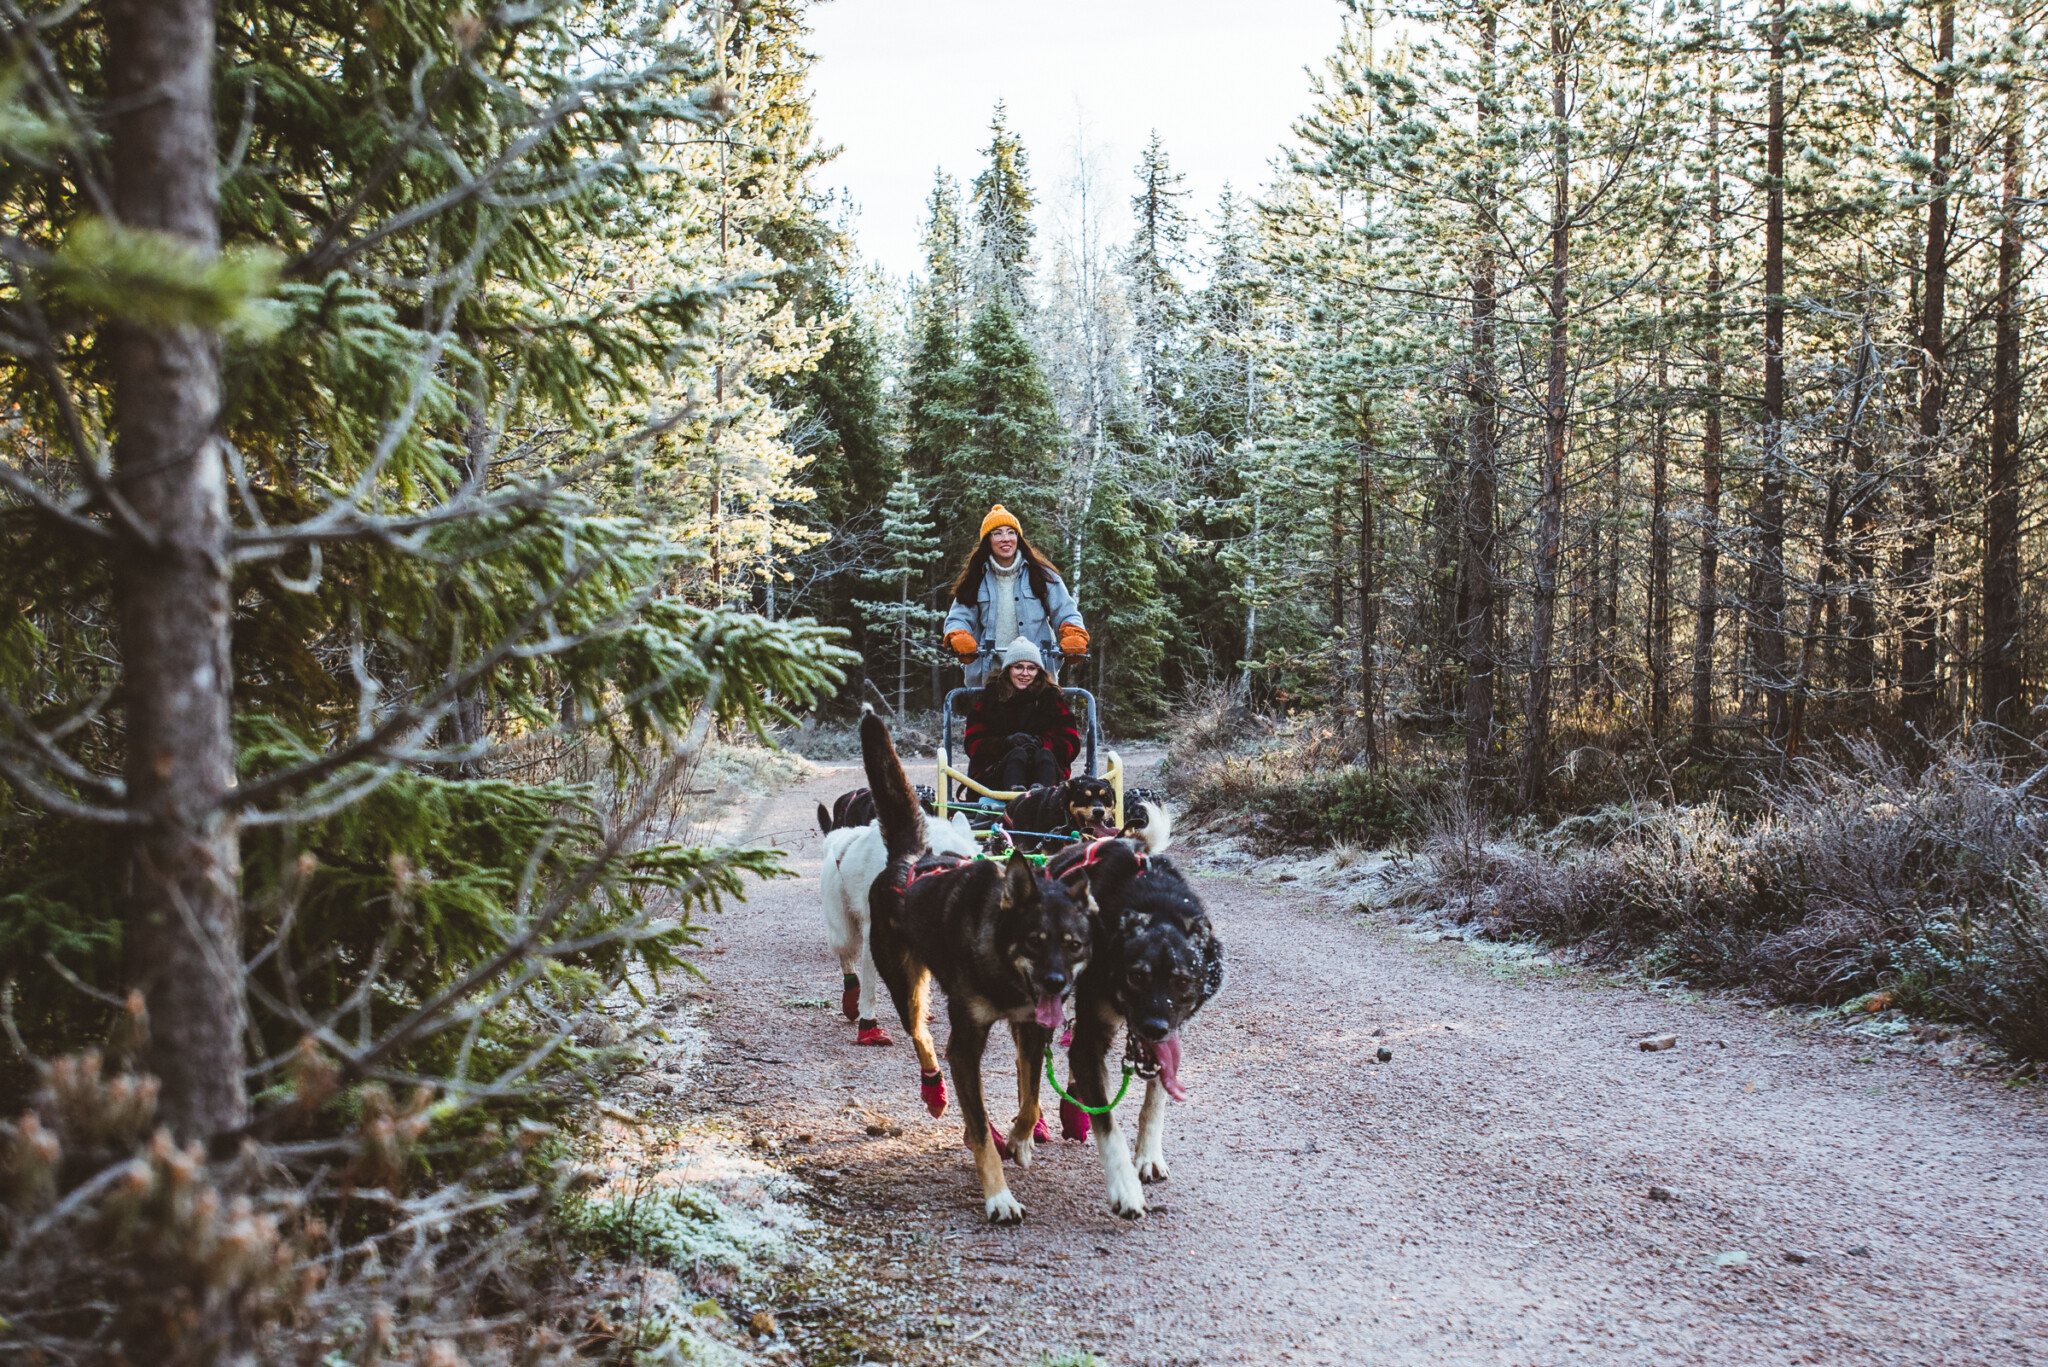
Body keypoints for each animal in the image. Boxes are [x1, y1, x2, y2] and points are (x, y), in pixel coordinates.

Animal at [856, 713, 1097, 1221]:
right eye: (1034, 940)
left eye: (1074, 945)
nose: (1057, 985)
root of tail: (913, 858)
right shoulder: (967, 1046)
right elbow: (984, 1131)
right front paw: (998, 1195)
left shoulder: (1032, 1030)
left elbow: (1030, 1098)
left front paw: (1023, 1140)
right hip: (907, 987)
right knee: (924, 1038)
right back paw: (934, 1089)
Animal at [1048, 840, 1220, 1221]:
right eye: (1137, 976)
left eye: (1181, 981)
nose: (1154, 1028)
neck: (1158, 907)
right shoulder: (1091, 1039)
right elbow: (1108, 1123)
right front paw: (1125, 1189)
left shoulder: (1171, 1035)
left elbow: (1155, 1098)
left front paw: (1148, 1155)